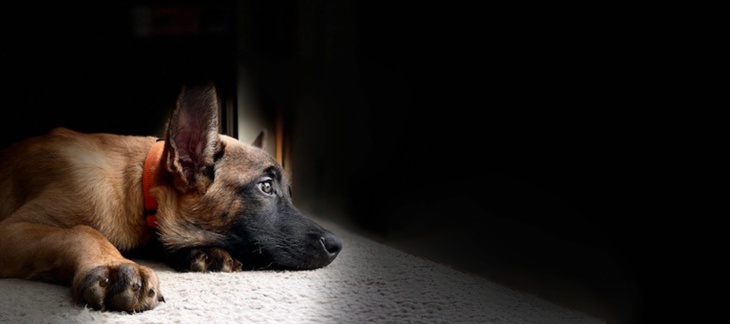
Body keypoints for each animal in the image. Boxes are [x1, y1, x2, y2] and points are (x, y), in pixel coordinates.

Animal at [0, 83, 340, 312]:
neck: (139, 187)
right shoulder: (11, 229)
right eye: (265, 187)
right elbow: (82, 231)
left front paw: (205, 252)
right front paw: (114, 265)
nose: (337, 245)